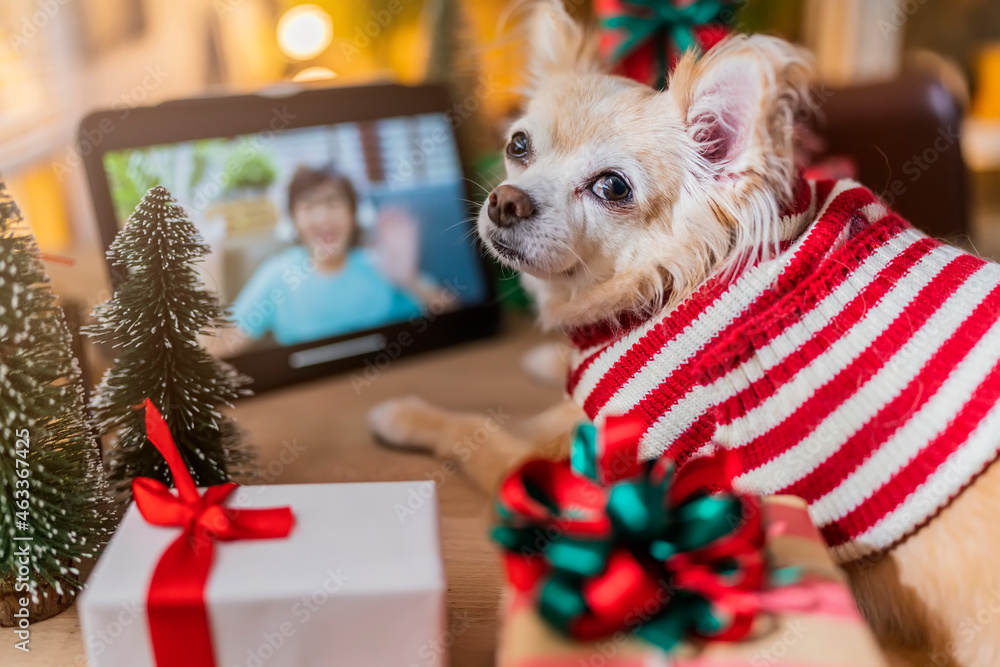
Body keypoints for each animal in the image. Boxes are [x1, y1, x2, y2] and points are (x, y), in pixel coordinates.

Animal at [372, 2, 1000, 664]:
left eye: (612, 187)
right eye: (519, 146)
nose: (505, 200)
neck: (672, 277)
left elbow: (478, 433)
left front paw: (410, 415)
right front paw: (547, 361)